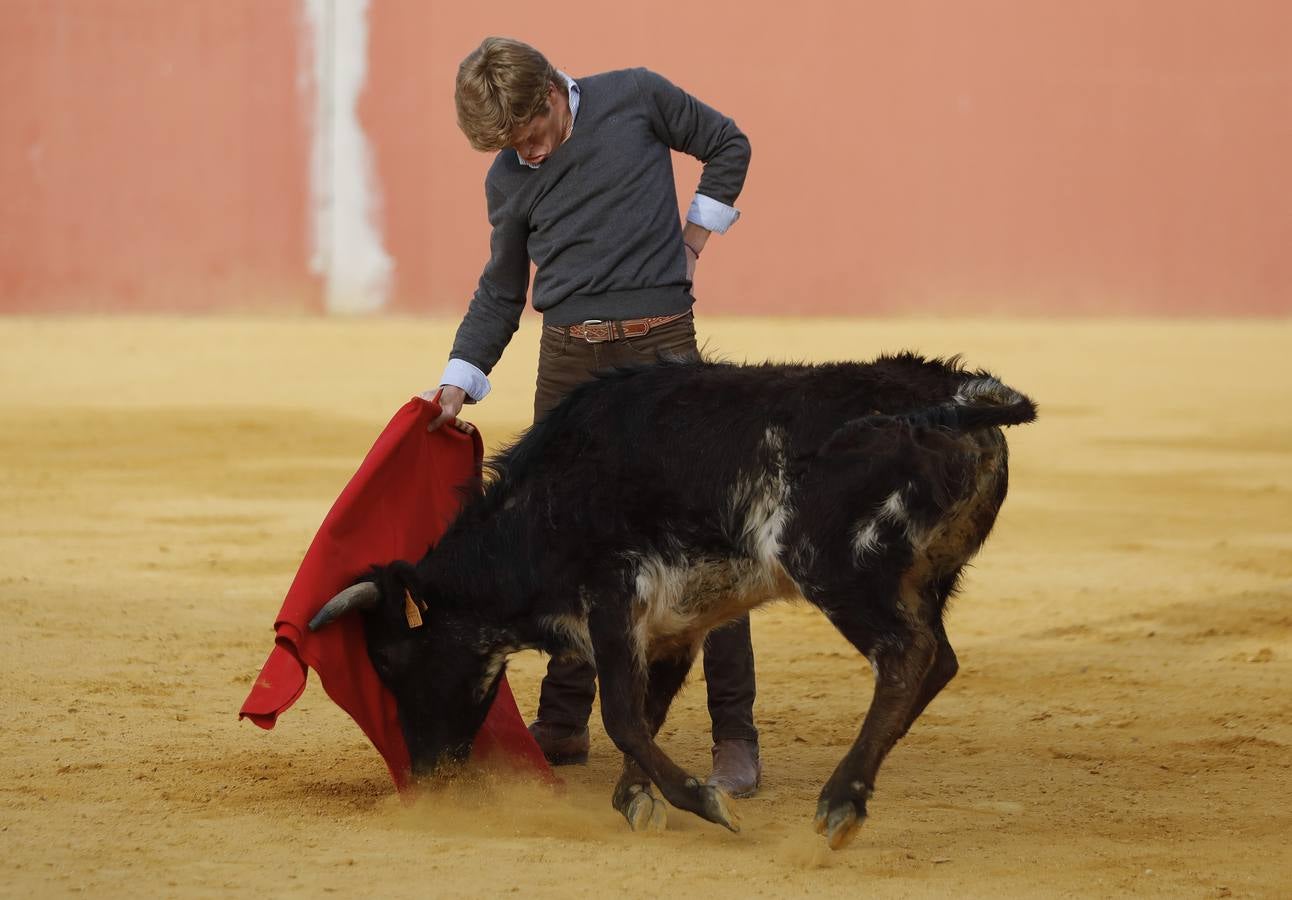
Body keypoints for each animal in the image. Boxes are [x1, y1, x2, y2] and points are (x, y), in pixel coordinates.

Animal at [307, 353, 1033, 847]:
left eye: (390, 663)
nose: (428, 774)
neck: (540, 508)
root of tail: (965, 395)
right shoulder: (677, 626)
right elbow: (646, 712)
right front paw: (637, 798)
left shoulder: (612, 600)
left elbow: (623, 716)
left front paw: (698, 799)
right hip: (924, 580)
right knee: (936, 660)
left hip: (836, 568)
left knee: (906, 658)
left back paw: (841, 802)